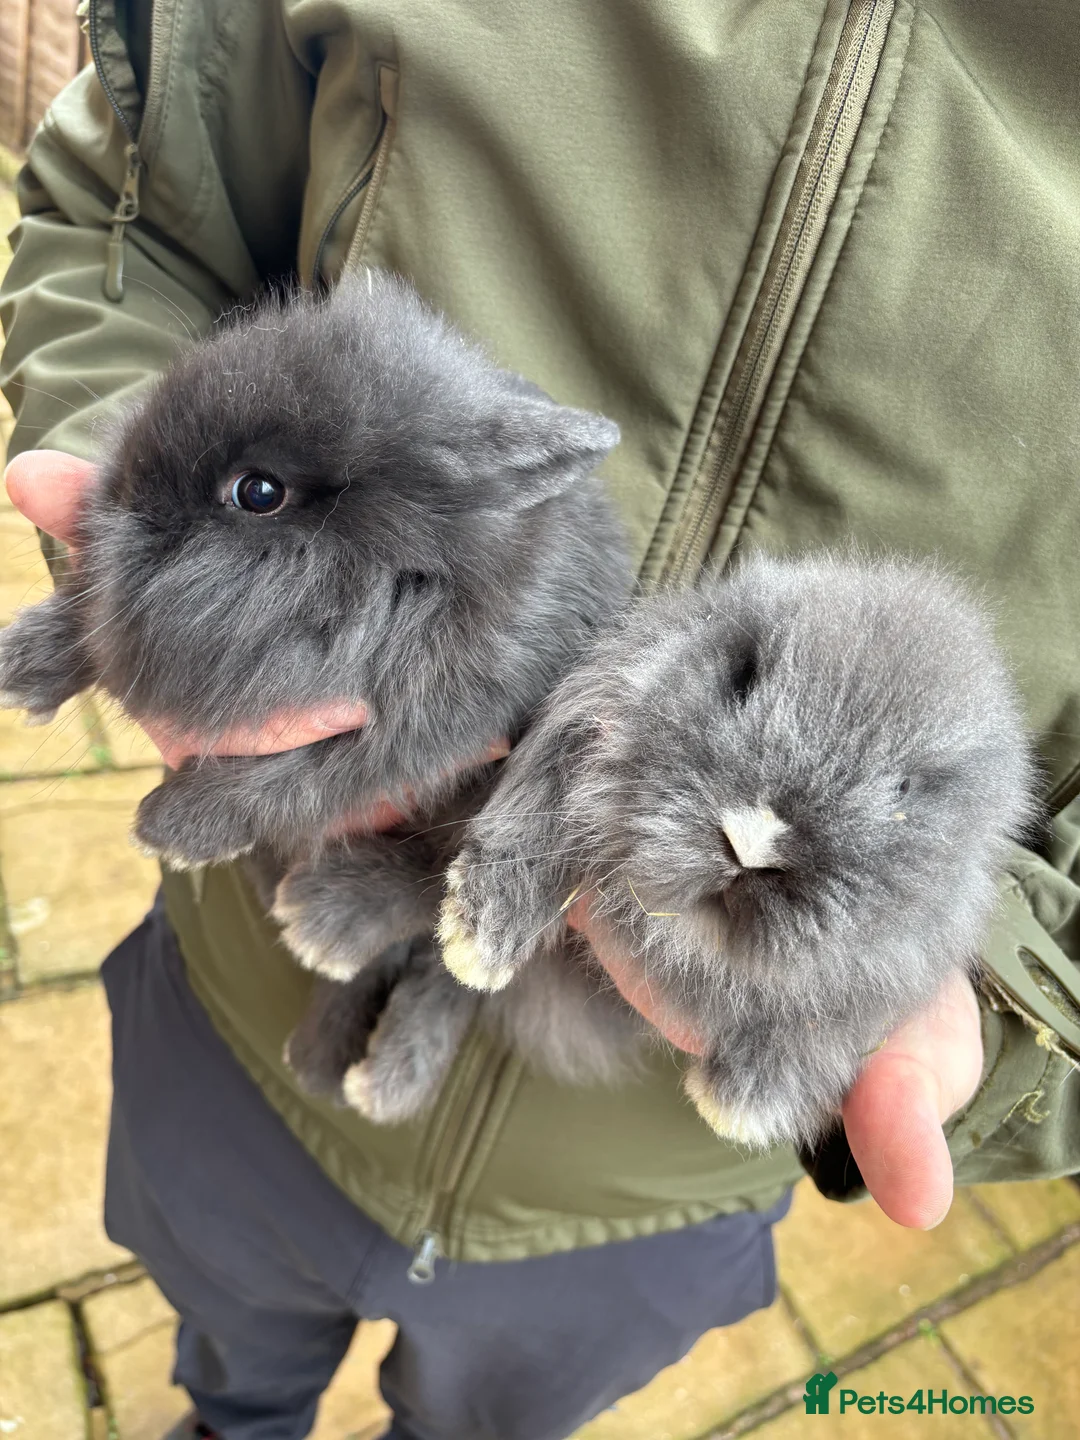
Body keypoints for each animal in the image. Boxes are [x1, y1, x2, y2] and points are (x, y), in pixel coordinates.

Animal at [0, 270, 641, 1120]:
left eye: (258, 491)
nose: (123, 493)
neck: (394, 581)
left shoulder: (423, 731)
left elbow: (299, 780)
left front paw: (170, 827)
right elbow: (99, 617)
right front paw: (24, 664)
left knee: (453, 949)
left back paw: (356, 987)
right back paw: (320, 1056)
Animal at [438, 551, 1037, 1149]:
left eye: (904, 790)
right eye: (743, 677)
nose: (750, 844)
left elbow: (820, 1032)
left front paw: (733, 1107)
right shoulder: (584, 725)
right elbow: (532, 832)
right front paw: (474, 951)